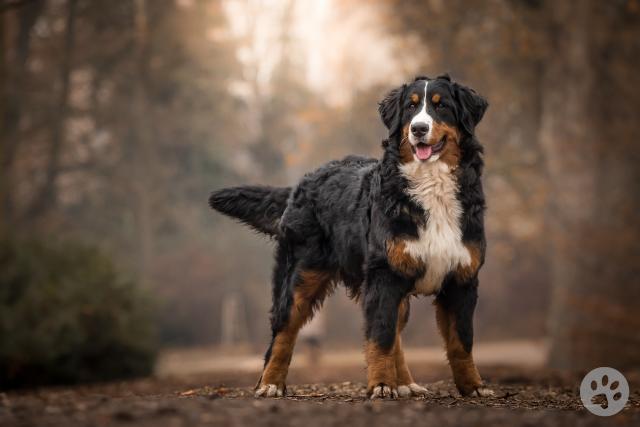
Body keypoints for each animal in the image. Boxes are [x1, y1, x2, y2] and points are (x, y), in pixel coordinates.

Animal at [210, 75, 490, 400]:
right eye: (410, 108)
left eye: (440, 105)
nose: (418, 129)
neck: (431, 186)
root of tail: (303, 182)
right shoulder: (384, 276)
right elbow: (380, 337)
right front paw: (380, 385)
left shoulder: (461, 278)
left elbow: (461, 341)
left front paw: (474, 386)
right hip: (300, 276)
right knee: (283, 331)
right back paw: (270, 383)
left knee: (396, 333)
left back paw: (405, 382)